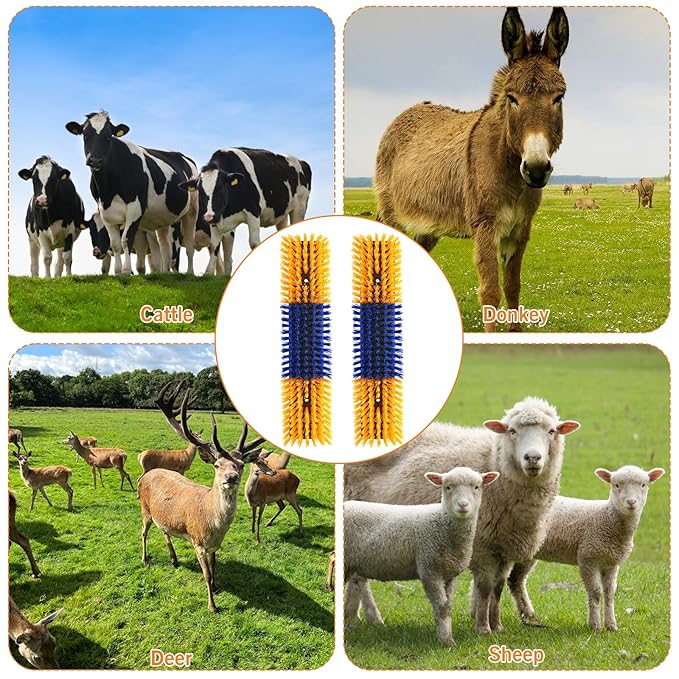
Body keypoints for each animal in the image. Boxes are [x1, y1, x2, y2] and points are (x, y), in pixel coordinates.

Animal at [65, 111, 198, 275]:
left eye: (108, 136)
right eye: (85, 135)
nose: (95, 160)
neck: (109, 190)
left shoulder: (136, 209)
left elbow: (126, 240)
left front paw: (126, 270)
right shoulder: (105, 212)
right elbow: (115, 244)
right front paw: (117, 272)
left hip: (192, 210)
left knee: (189, 243)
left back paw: (190, 272)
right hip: (164, 217)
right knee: (165, 245)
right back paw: (164, 273)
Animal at [180, 147, 311, 276]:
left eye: (220, 188)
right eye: (200, 191)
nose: (208, 217)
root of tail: (301, 161)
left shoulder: (253, 211)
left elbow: (254, 243)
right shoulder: (216, 218)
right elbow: (215, 245)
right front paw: (210, 272)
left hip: (299, 207)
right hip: (281, 213)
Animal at [345, 467, 499, 645]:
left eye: (476, 487)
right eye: (447, 487)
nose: (463, 505)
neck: (442, 524)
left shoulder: (448, 574)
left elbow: (448, 606)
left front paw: (447, 636)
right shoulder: (429, 570)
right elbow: (441, 607)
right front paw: (446, 641)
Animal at [507, 465, 665, 632]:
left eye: (644, 485)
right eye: (616, 485)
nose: (631, 502)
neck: (607, 518)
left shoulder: (611, 563)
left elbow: (610, 593)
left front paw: (611, 625)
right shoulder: (588, 558)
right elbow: (595, 592)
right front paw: (595, 625)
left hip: (527, 552)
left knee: (516, 581)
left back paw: (529, 617)